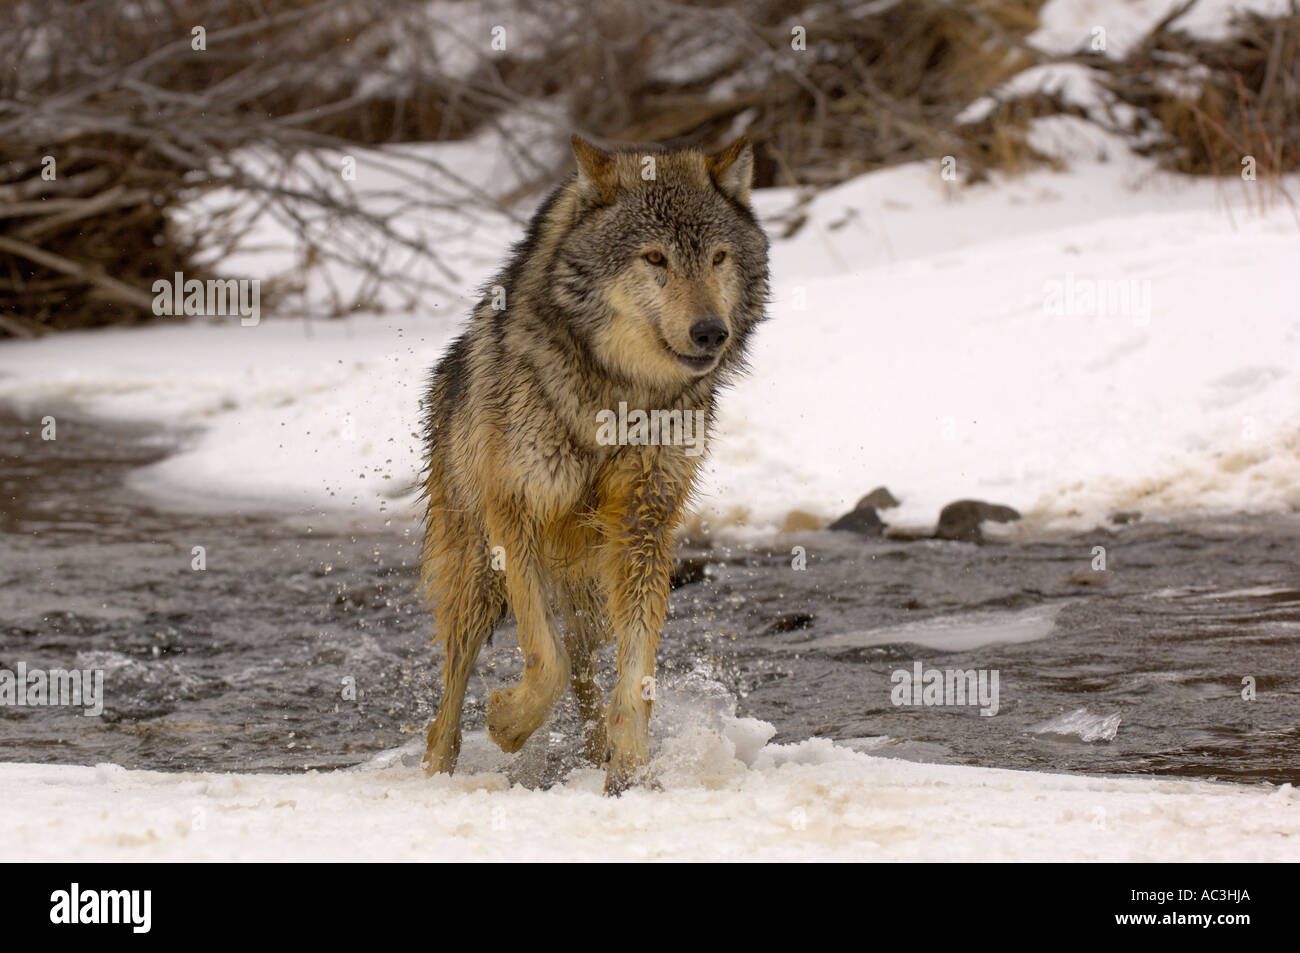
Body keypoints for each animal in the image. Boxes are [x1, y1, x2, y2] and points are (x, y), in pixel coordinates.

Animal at [418, 134, 769, 794]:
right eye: (655, 258)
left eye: (718, 258)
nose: (711, 331)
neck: (617, 393)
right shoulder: (515, 514)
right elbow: (544, 660)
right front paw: (507, 724)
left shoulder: (643, 526)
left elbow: (632, 681)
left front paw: (629, 775)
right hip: (477, 575)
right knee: (451, 693)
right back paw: (438, 773)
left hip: (590, 590)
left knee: (584, 667)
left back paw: (595, 753)